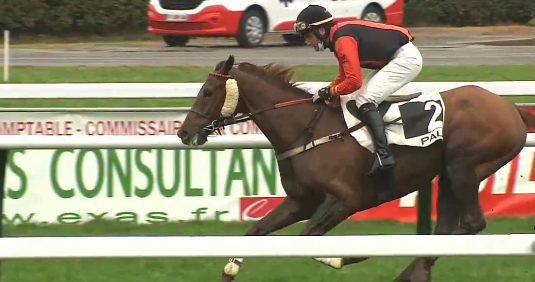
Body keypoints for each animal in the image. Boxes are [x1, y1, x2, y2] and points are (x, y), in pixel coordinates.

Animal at [177, 55, 535, 282]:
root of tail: (511, 108)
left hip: (464, 165)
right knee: (444, 233)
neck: (305, 130)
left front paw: (349, 257)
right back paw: (413, 273)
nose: (183, 132)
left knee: (471, 223)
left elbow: (308, 238)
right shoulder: (300, 202)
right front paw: (229, 272)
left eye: (207, 92)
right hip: (447, 172)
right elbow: (255, 233)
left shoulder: (344, 200)